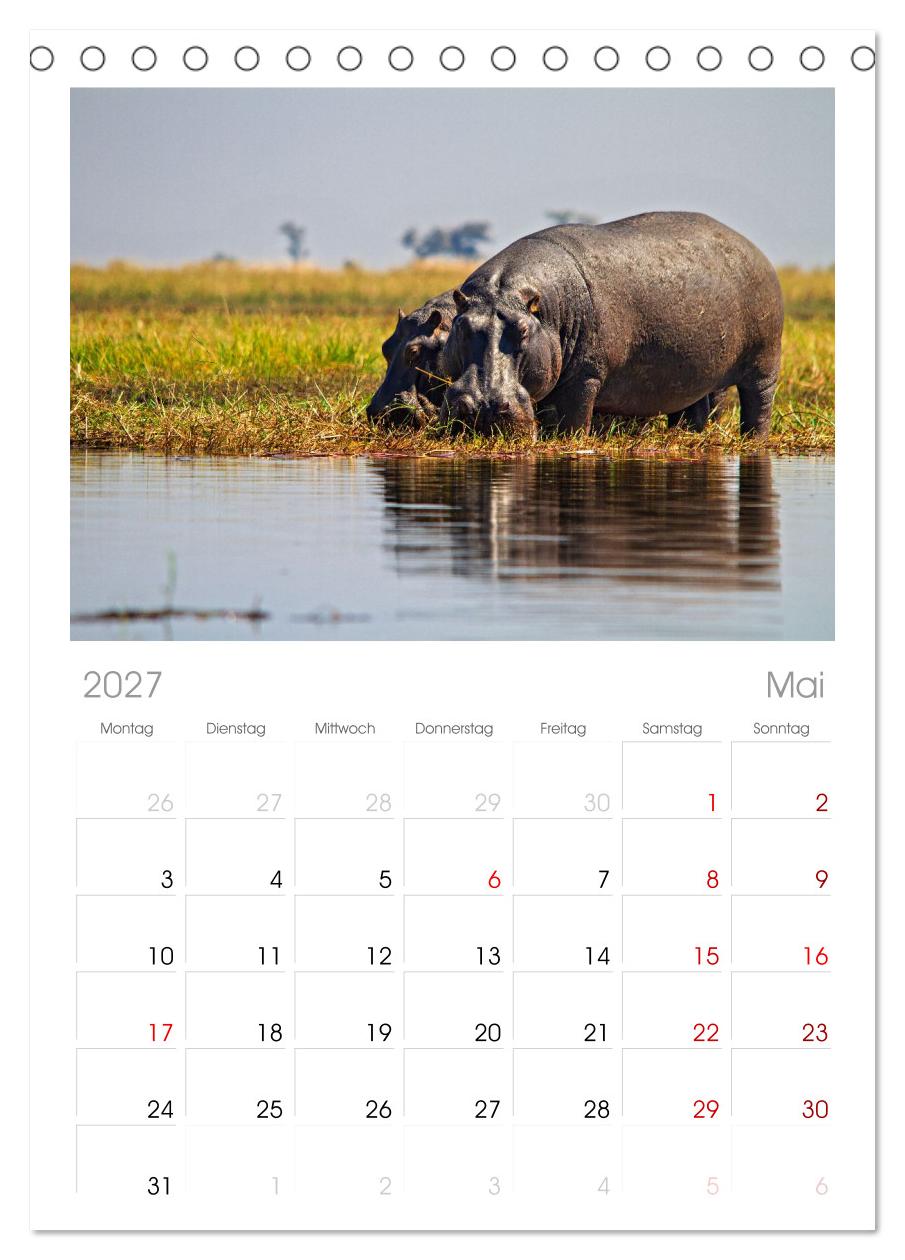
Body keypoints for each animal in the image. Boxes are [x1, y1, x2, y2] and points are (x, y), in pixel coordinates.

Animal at [440, 213, 784, 439]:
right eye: (461, 327)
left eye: (523, 331)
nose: (483, 404)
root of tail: (753, 248)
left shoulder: (585, 377)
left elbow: (573, 423)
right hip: (698, 373)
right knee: (696, 408)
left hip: (764, 361)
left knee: (759, 403)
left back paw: (753, 440)